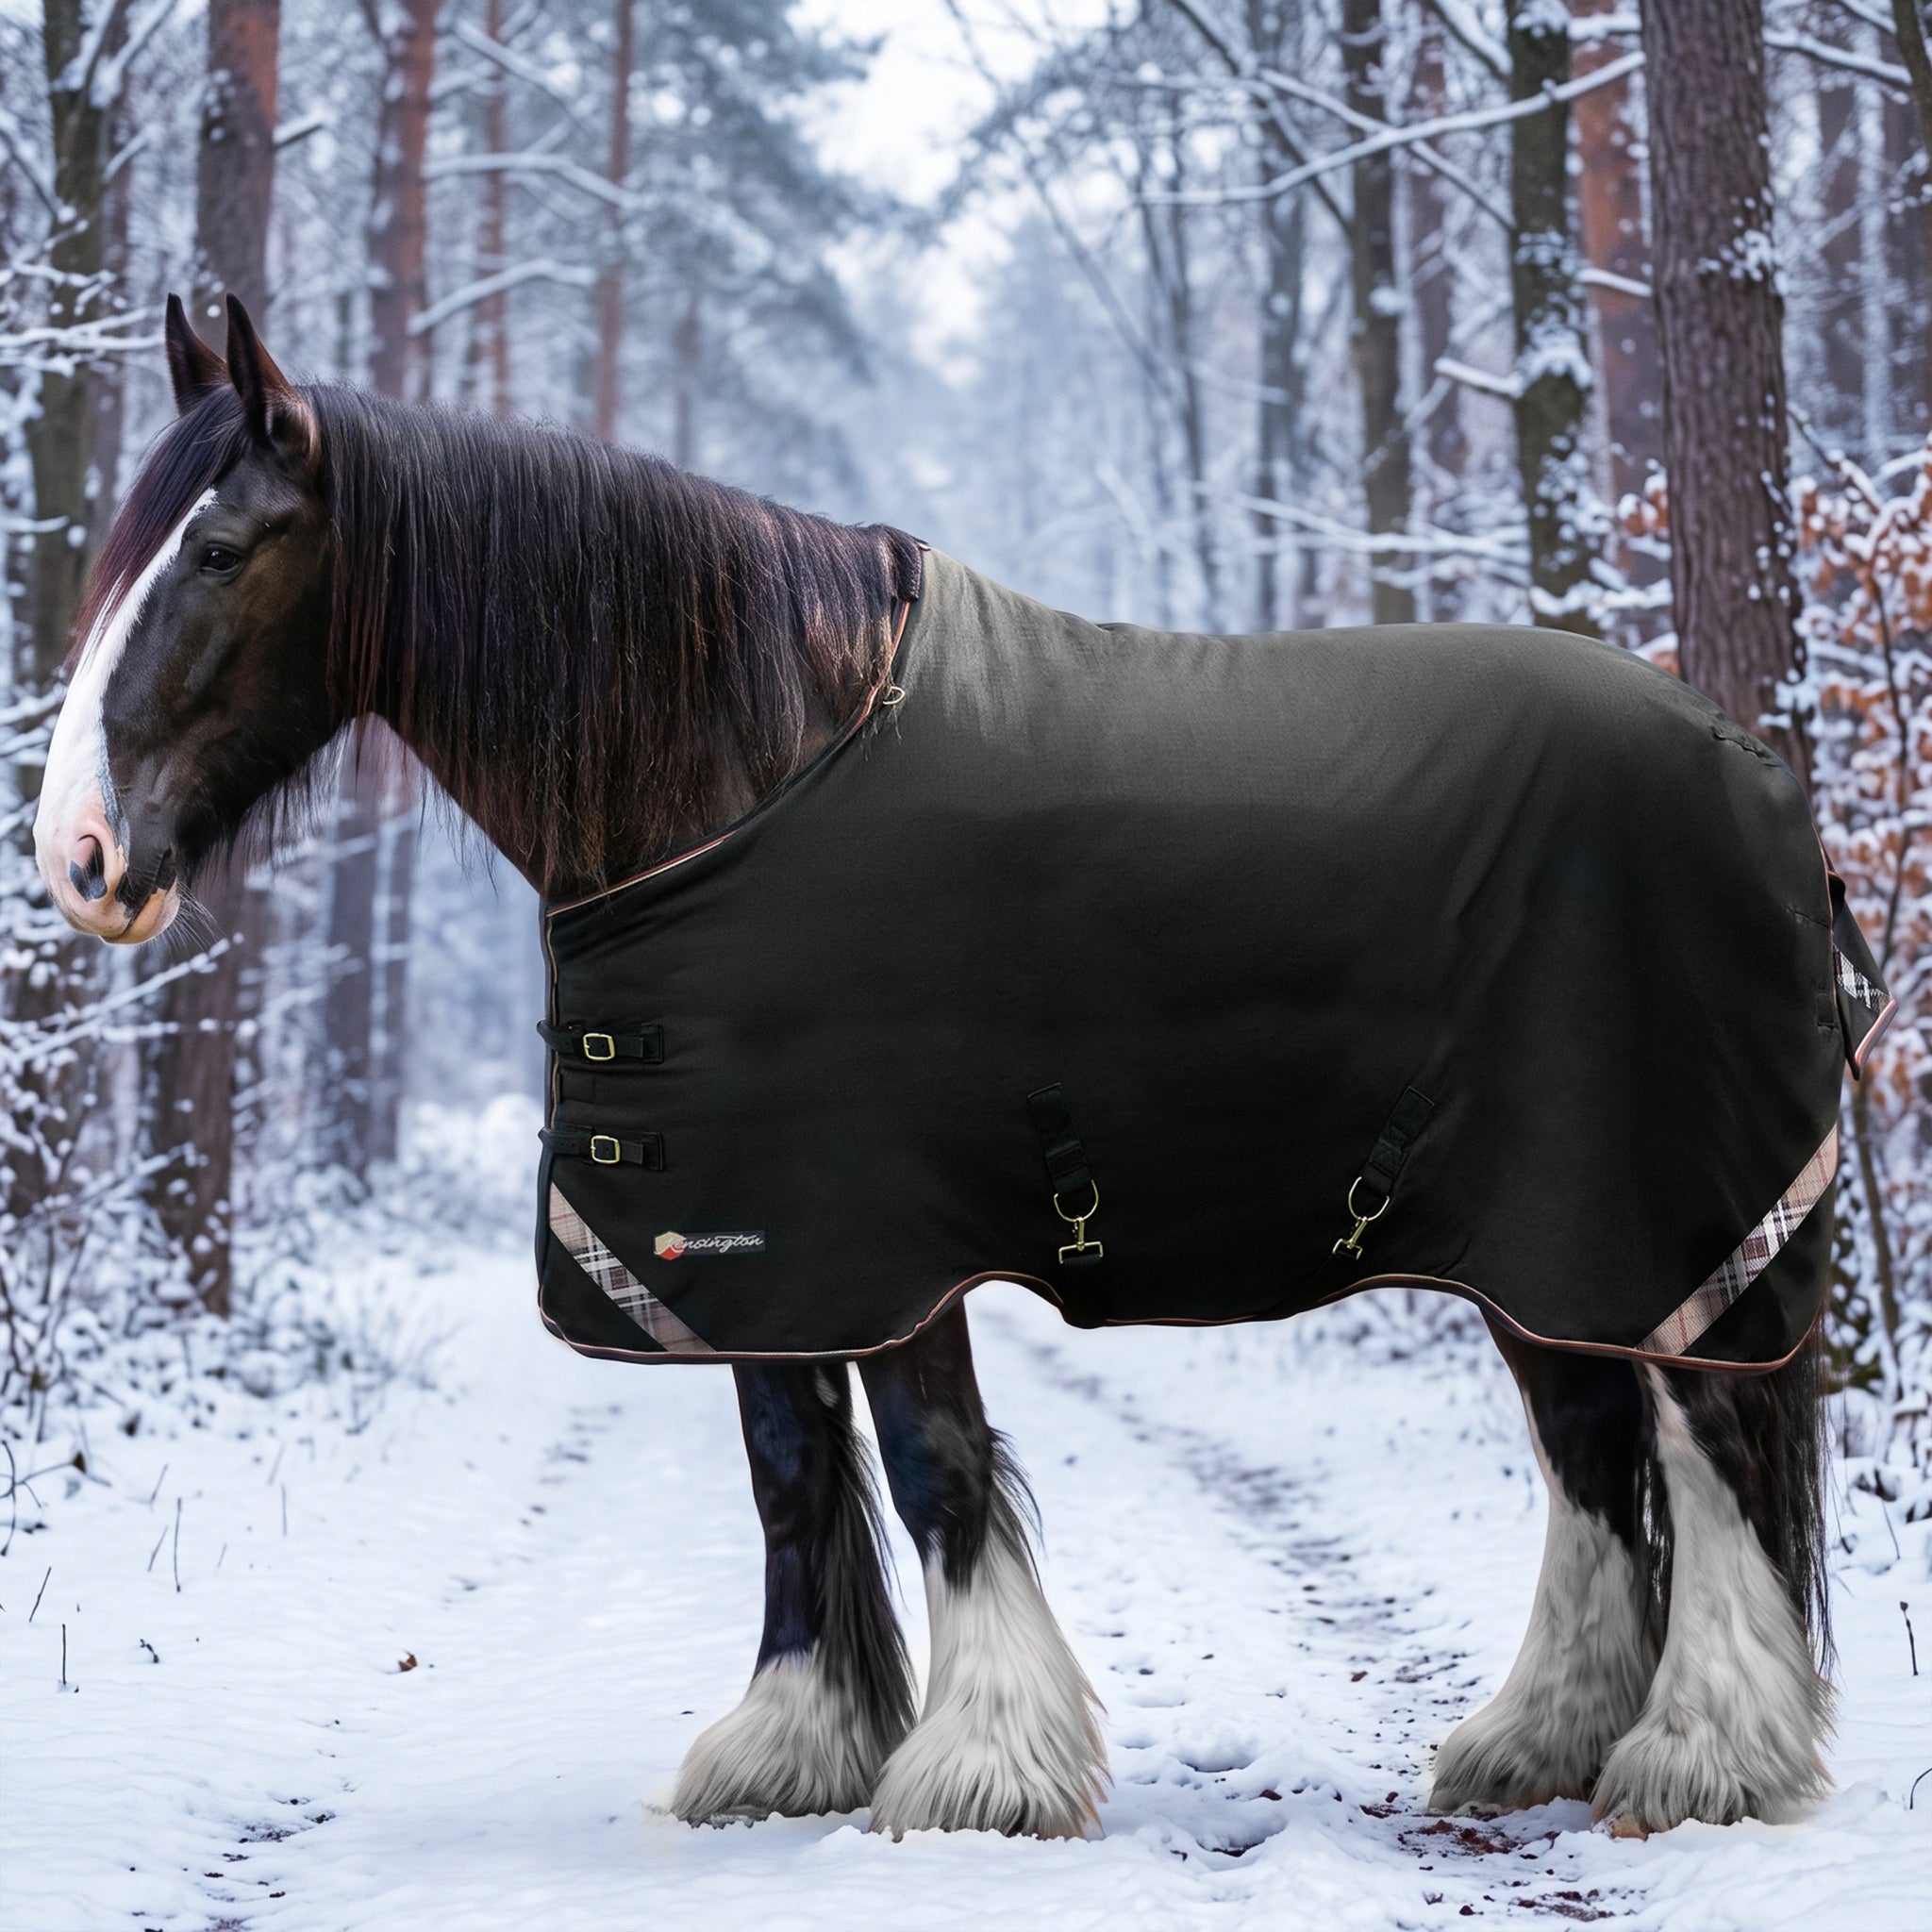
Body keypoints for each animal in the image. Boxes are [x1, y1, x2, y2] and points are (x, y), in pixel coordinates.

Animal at [33, 295, 1850, 1841]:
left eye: (216, 548)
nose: (79, 857)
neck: (743, 761)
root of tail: (1757, 764)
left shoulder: (884, 1230)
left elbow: (931, 1466)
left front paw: (983, 1767)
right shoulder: (751, 1238)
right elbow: (787, 1469)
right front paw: (790, 1748)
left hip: (1640, 1218)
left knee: (1702, 1439)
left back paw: (1699, 1754)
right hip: (1534, 1244)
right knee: (1594, 1449)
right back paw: (1538, 1742)